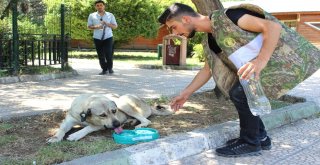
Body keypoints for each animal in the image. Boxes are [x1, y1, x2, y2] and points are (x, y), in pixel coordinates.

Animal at [46, 93, 174, 142]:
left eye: (114, 111)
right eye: (102, 115)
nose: (117, 124)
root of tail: (147, 104)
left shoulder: (99, 126)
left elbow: (88, 128)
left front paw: (75, 135)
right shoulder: (69, 120)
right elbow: (62, 129)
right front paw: (55, 137)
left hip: (123, 102)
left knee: (146, 120)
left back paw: (138, 124)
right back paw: (129, 122)